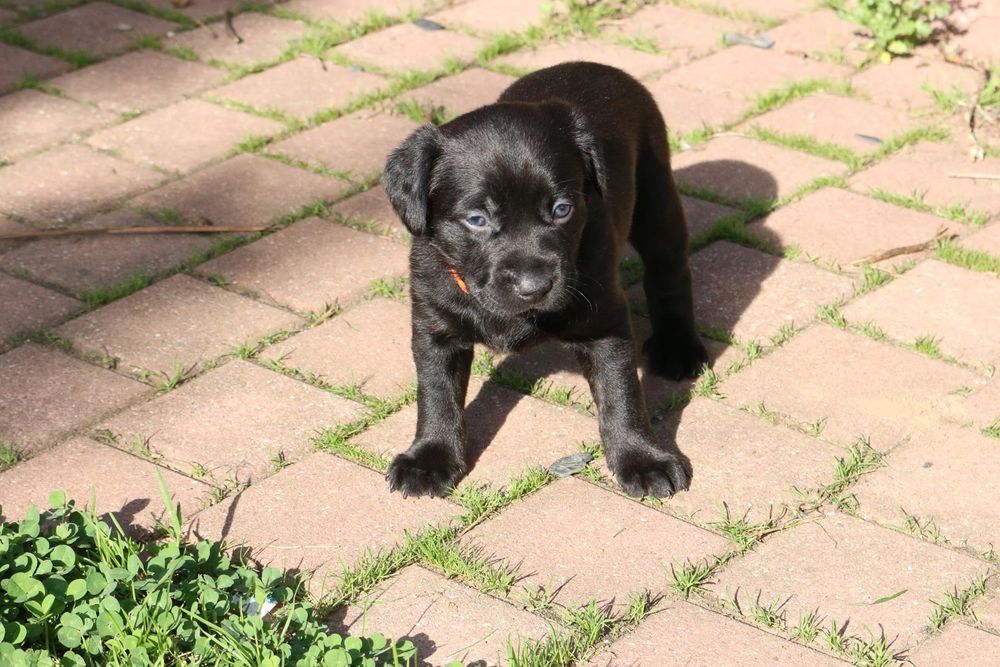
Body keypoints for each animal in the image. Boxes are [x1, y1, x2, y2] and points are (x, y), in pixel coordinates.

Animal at [382, 61, 708, 499]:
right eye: (477, 219)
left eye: (561, 210)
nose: (534, 287)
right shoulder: (435, 328)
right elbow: (436, 395)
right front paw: (429, 458)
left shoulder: (606, 324)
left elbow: (621, 395)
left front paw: (642, 459)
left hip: (656, 199)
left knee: (669, 273)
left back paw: (678, 348)